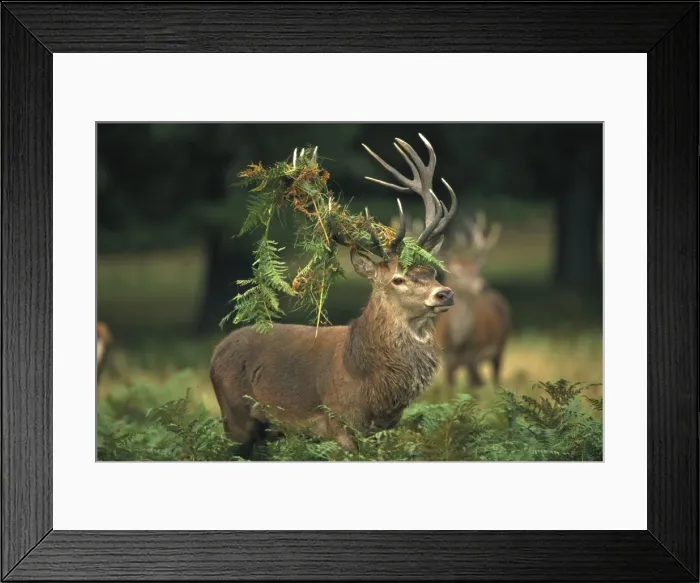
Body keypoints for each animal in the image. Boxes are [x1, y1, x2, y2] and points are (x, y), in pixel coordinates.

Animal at [210, 134, 458, 456]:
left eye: (432, 272)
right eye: (398, 279)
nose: (445, 294)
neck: (371, 385)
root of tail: (215, 351)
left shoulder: (384, 430)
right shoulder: (339, 421)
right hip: (234, 418)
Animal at [435, 211, 511, 389]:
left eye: (477, 269)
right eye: (457, 273)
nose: (482, 285)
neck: (459, 343)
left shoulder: (474, 357)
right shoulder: (447, 360)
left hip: (501, 344)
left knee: (496, 375)